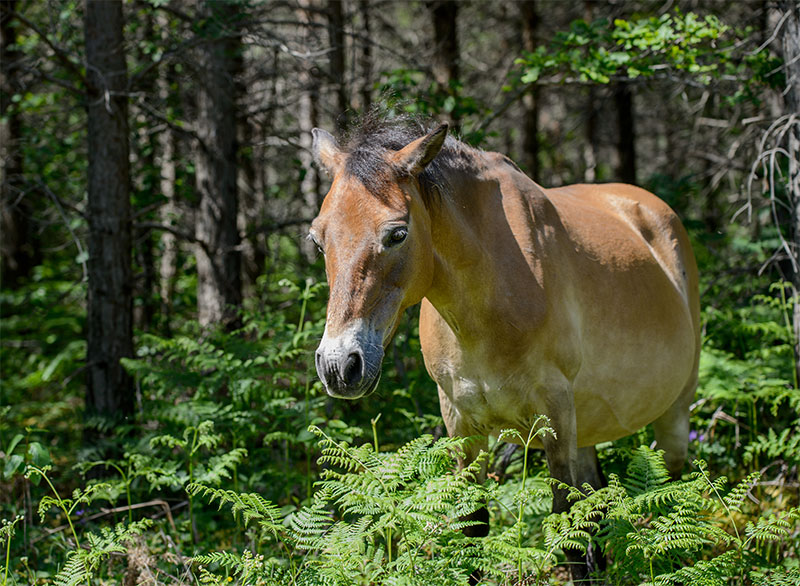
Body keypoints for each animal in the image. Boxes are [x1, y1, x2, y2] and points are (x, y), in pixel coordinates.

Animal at [308, 115, 700, 580]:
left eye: (398, 234)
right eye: (318, 239)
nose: (339, 365)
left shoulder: (554, 413)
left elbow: (566, 526)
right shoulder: (460, 421)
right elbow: (473, 527)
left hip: (672, 414)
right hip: (583, 426)